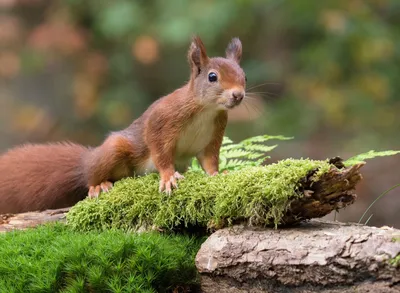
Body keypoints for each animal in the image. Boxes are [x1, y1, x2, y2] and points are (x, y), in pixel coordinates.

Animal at [0, 36, 245, 212]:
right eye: (212, 77)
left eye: (243, 76)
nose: (238, 95)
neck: (206, 110)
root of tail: (86, 162)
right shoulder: (163, 120)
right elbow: (159, 150)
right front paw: (168, 177)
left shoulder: (214, 134)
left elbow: (209, 160)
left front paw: (218, 175)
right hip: (113, 151)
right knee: (91, 178)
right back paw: (99, 185)